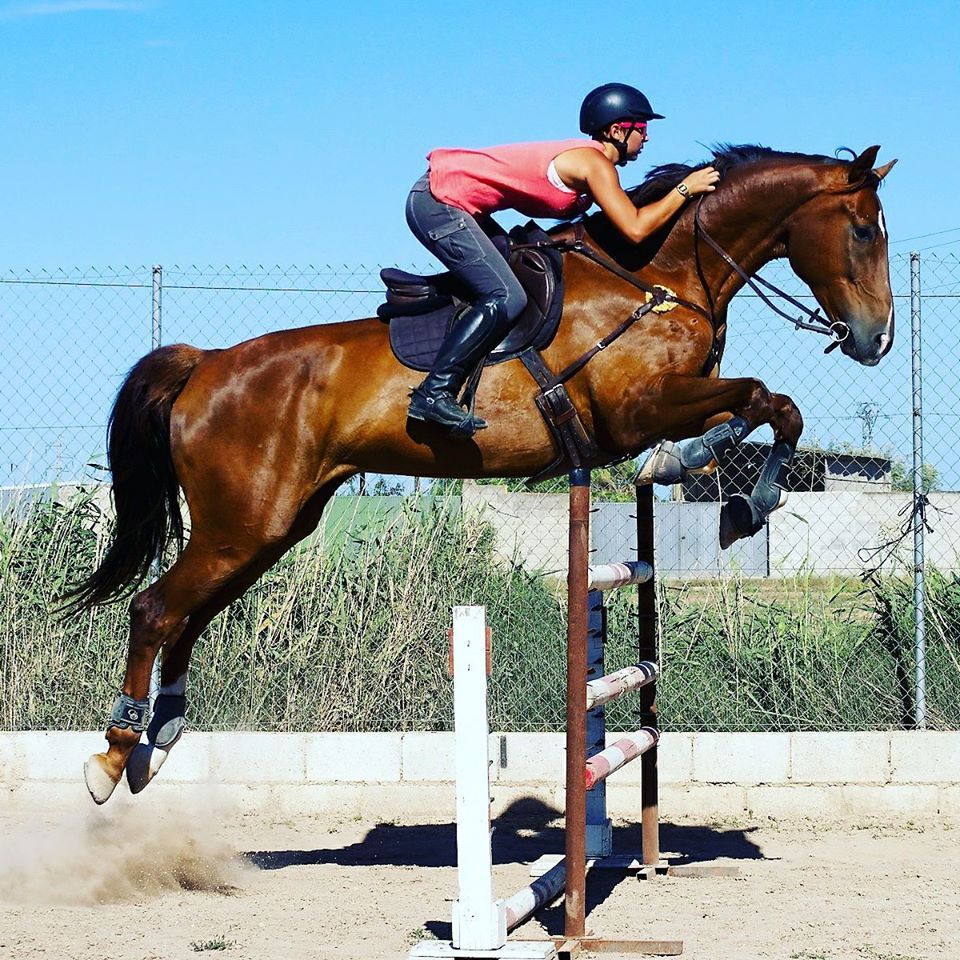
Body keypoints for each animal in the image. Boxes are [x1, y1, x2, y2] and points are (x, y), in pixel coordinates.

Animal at [69, 143, 897, 804]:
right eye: (862, 230)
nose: (877, 340)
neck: (658, 274)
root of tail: (206, 362)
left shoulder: (668, 403)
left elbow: (767, 410)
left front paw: (718, 484)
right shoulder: (636, 408)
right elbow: (762, 399)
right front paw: (734, 495)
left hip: (270, 528)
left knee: (189, 614)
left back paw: (161, 737)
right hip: (243, 522)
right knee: (155, 609)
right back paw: (113, 757)